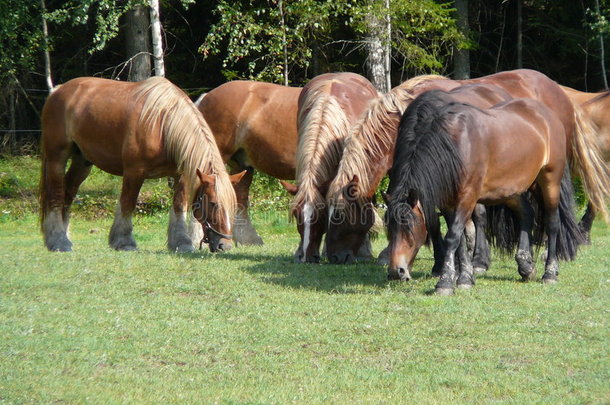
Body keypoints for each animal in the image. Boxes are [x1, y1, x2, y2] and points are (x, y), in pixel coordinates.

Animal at [36, 76, 242, 252]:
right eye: (214, 204)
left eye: (233, 206)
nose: (225, 245)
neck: (162, 125)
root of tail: (57, 90)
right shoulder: (134, 172)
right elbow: (127, 204)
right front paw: (124, 242)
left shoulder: (181, 175)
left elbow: (178, 206)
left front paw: (182, 243)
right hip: (56, 158)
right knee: (56, 196)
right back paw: (59, 241)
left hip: (82, 162)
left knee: (68, 194)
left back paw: (65, 236)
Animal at [384, 90, 584, 296]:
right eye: (389, 228)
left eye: (411, 227)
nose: (396, 271)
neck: (455, 147)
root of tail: (548, 115)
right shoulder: (448, 203)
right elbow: (459, 242)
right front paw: (464, 277)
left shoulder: (468, 198)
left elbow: (453, 237)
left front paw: (446, 282)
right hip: (513, 189)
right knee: (527, 214)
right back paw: (526, 266)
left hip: (549, 181)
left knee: (552, 223)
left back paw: (550, 272)